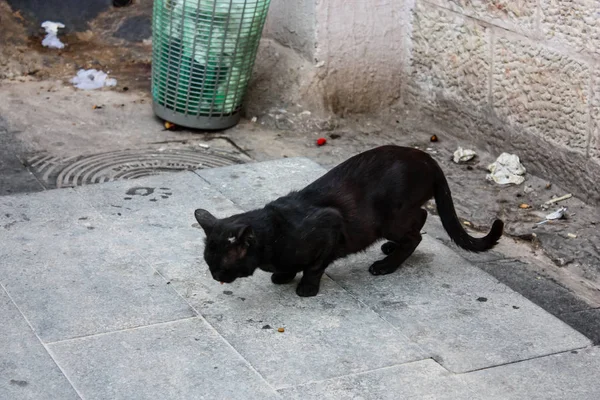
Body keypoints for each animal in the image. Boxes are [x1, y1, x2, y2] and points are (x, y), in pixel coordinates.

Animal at [195, 145, 504, 296]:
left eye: (222, 265)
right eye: (208, 263)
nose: (215, 276)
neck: (273, 235)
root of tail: (428, 159)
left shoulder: (330, 228)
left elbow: (315, 267)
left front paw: (306, 288)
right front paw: (283, 275)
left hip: (389, 218)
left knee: (415, 234)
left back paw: (385, 265)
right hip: (399, 215)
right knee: (422, 217)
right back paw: (389, 249)